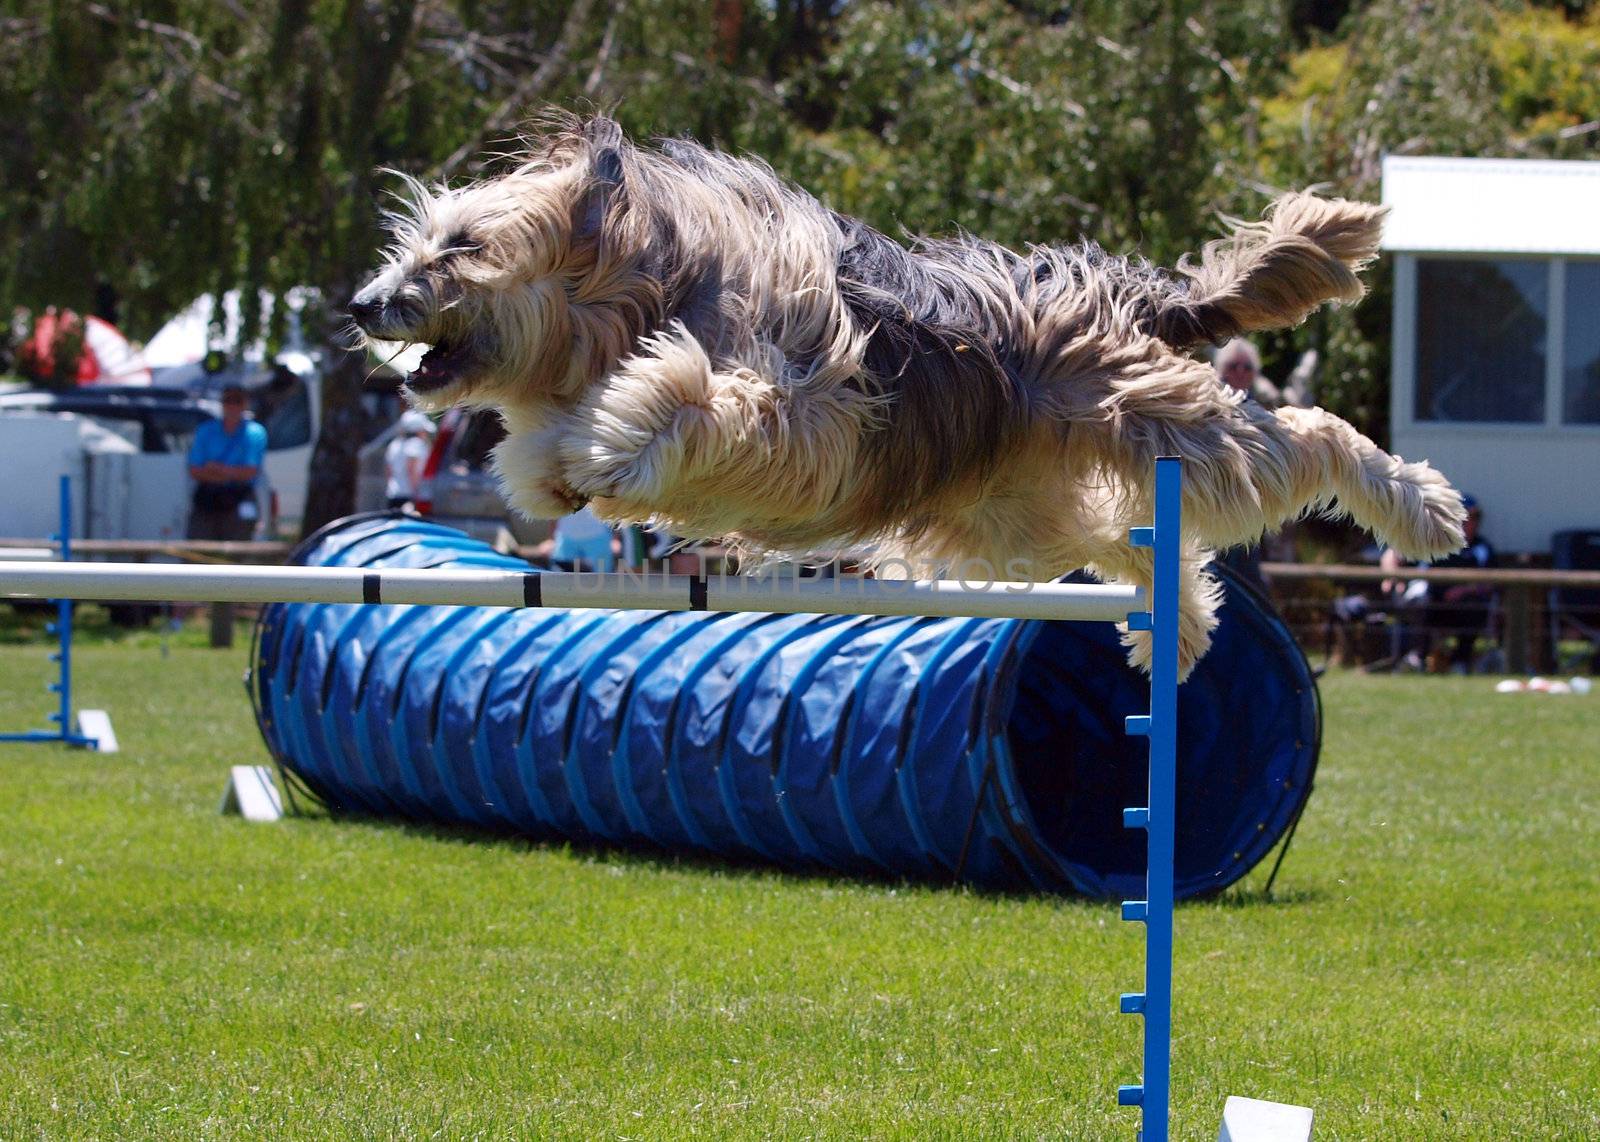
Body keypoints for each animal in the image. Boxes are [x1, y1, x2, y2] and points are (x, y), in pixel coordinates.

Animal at [350, 114, 1465, 671]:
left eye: (460, 245)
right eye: (418, 240)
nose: (363, 302)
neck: (643, 291)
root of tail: (1122, 296)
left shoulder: (803, 407)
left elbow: (693, 397)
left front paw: (611, 439)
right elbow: (547, 454)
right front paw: (553, 470)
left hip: (1161, 426)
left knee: (1302, 435)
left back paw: (1421, 502)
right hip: (1010, 513)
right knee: (1137, 543)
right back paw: (1176, 627)